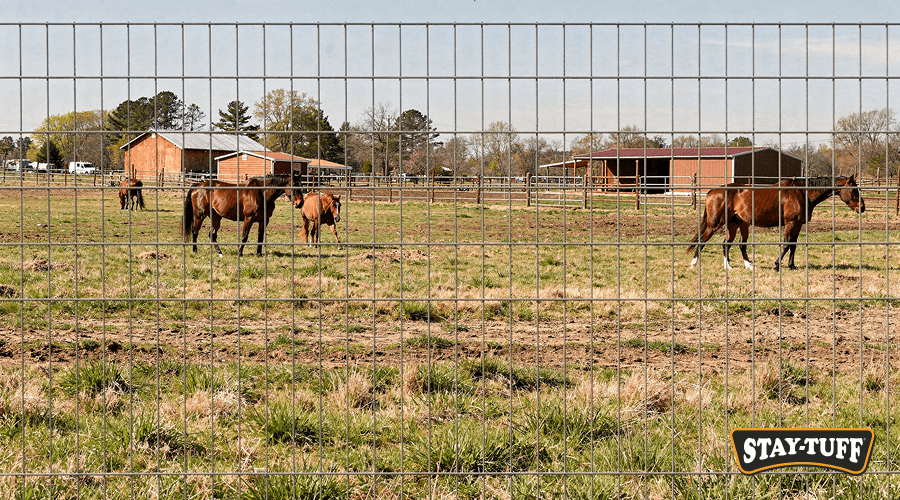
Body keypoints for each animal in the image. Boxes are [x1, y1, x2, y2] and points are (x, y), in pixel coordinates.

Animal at [686, 175, 865, 271]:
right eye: (854, 190)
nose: (862, 207)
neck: (801, 193)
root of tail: (712, 191)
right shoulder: (790, 223)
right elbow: (786, 245)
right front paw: (777, 264)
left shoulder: (798, 224)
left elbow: (793, 245)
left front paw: (791, 265)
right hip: (715, 224)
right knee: (703, 241)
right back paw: (694, 263)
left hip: (736, 224)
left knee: (730, 244)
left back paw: (738, 266)